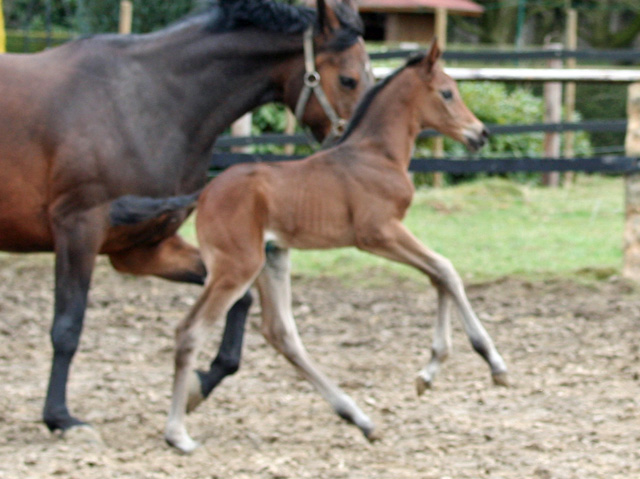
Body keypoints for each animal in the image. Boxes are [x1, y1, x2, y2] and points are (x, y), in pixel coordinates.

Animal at [0, 0, 370, 436]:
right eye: (348, 80)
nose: (360, 149)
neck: (146, 101)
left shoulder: (142, 249)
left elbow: (239, 301)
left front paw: (199, 386)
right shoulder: (79, 230)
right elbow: (68, 325)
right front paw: (60, 417)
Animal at [164, 40, 504, 454]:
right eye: (447, 93)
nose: (481, 133)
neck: (377, 154)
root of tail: (204, 193)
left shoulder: (389, 235)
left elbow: (438, 276)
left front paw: (429, 372)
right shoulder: (378, 233)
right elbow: (446, 270)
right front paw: (492, 361)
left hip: (272, 259)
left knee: (281, 333)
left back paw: (359, 418)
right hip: (236, 268)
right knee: (191, 331)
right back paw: (177, 433)